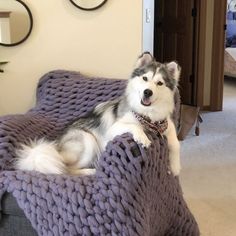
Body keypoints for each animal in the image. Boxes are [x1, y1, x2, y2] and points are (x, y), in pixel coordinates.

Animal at [15, 52, 182, 176]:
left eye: (159, 83)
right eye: (145, 78)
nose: (148, 92)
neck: (149, 116)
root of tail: (55, 147)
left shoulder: (167, 124)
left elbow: (175, 142)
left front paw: (175, 167)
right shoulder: (113, 129)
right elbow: (135, 127)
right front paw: (143, 138)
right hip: (88, 140)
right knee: (65, 170)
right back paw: (89, 172)